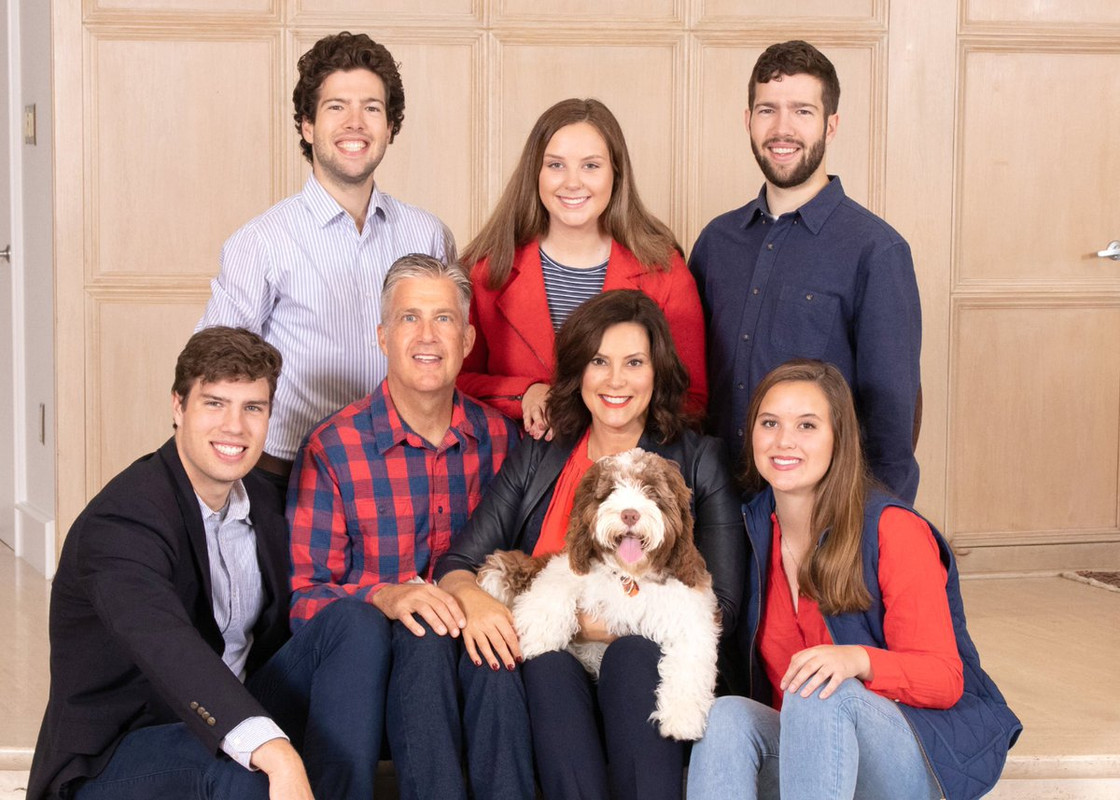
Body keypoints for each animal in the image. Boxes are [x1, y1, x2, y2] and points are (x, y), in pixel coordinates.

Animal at [477, 445, 721, 739]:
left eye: (651, 491)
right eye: (611, 490)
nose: (630, 514)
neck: (629, 576)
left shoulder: (692, 612)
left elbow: (691, 659)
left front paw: (681, 717)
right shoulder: (568, 564)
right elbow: (554, 585)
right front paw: (539, 636)